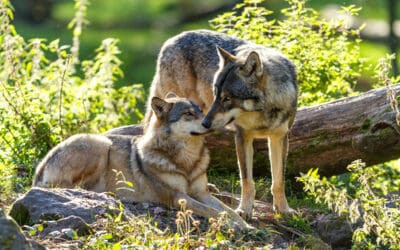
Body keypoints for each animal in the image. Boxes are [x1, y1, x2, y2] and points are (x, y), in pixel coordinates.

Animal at [35, 94, 253, 230]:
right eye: (188, 114)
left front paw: (246, 225)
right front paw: (237, 225)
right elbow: (214, 212)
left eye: (201, 110)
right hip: (101, 144)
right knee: (71, 187)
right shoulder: (178, 197)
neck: (186, 161)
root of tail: (40, 167)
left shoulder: (201, 193)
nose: (209, 123)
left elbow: (227, 210)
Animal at [145, 29, 296, 219]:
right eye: (216, 93)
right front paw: (245, 210)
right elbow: (247, 180)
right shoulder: (242, 137)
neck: (263, 111)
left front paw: (283, 209)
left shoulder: (280, 137)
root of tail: (172, 39)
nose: (206, 122)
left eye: (227, 98)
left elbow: (278, 180)